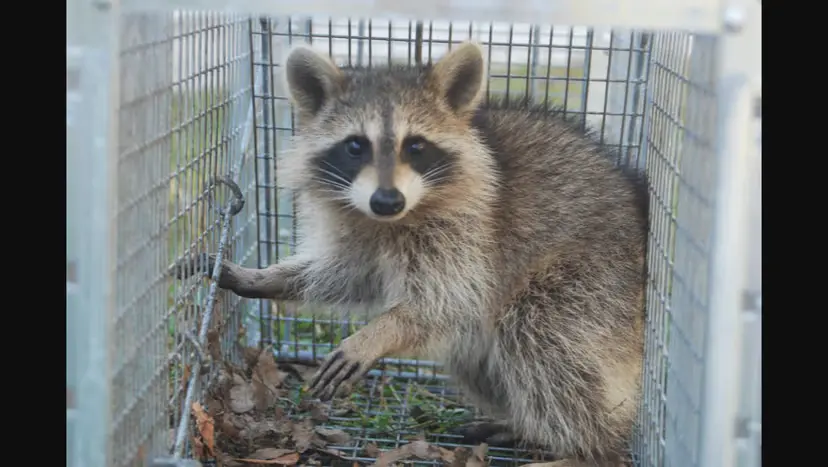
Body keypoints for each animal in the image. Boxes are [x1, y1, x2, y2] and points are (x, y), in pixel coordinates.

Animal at [176, 42, 649, 466]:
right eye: (355, 146)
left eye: (416, 146)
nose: (387, 200)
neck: (390, 222)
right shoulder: (360, 229)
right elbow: (343, 275)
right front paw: (259, 277)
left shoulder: (470, 233)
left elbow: (448, 302)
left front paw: (379, 332)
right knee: (483, 355)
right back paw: (526, 426)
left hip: (598, 285)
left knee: (540, 334)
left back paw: (586, 449)